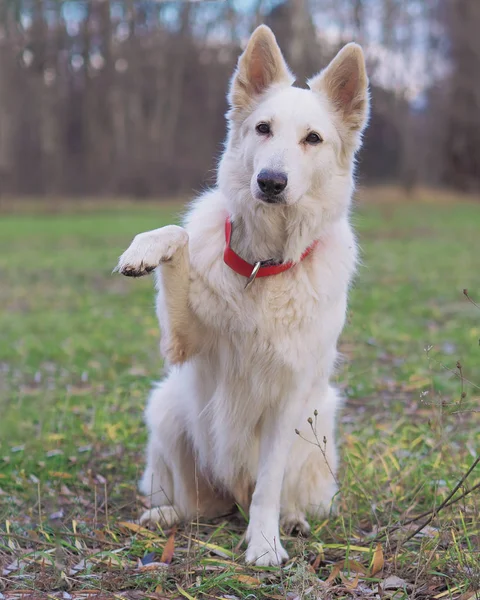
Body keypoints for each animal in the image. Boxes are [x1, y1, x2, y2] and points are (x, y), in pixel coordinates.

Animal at [114, 24, 370, 568]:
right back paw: (165, 515)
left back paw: (290, 521)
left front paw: (265, 544)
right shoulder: (181, 344)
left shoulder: (289, 400)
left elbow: (268, 486)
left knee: (273, 496)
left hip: (318, 420)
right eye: (263, 129)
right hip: (168, 407)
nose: (270, 181)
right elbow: (180, 236)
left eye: (313, 139)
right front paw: (144, 249)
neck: (264, 267)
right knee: (194, 506)